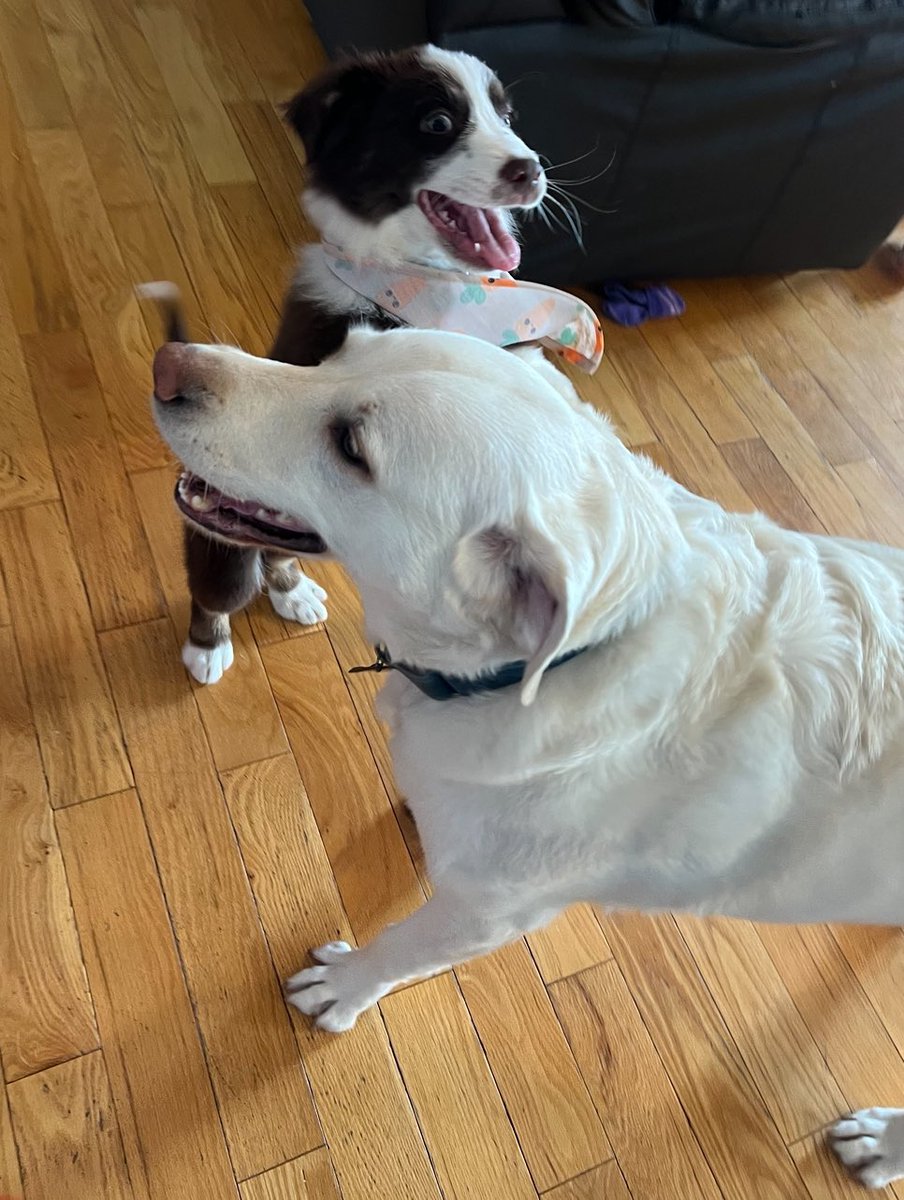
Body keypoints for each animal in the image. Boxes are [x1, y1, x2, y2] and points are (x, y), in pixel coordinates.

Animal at [151, 321, 902, 1190]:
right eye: (339, 350)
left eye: (351, 447)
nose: (167, 363)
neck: (562, 656)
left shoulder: (488, 913)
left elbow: (398, 948)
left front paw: (341, 988)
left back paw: (880, 1142)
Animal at [176, 46, 542, 686]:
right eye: (437, 123)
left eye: (507, 115)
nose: (531, 169)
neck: (424, 284)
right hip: (218, 531)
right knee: (220, 577)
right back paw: (208, 644)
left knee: (278, 548)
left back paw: (292, 591)